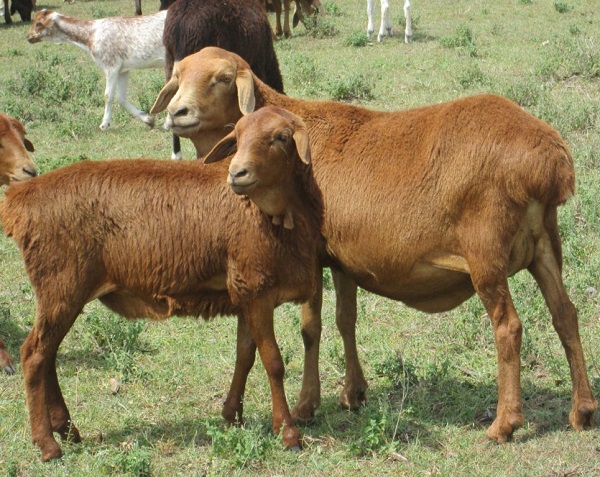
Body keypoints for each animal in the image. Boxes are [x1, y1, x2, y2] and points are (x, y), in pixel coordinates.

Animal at [1, 106, 324, 461]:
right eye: (237, 138)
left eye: (282, 137)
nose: (237, 174)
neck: (270, 215)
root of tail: (21, 199)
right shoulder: (256, 289)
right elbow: (273, 362)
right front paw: (288, 432)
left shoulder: (245, 291)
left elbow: (245, 355)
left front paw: (232, 415)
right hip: (61, 285)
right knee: (34, 355)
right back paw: (47, 443)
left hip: (61, 291)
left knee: (48, 355)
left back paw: (68, 429)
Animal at [26, 9, 167, 132]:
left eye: (38, 24)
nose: (28, 37)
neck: (91, 35)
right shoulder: (123, 70)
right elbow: (121, 98)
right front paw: (148, 119)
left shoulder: (111, 66)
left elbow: (108, 96)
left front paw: (103, 125)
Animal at [150, 46, 598, 444]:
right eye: (179, 75)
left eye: (224, 78)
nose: (178, 113)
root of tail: (550, 162)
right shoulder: (342, 257)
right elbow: (345, 320)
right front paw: (354, 393)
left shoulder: (312, 252)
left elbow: (310, 328)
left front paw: (306, 406)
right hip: (545, 243)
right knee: (565, 314)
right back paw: (582, 410)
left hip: (485, 251)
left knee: (508, 326)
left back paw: (504, 424)